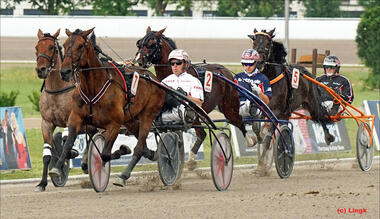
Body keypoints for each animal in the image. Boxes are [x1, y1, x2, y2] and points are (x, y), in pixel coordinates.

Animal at [48, 27, 164, 185]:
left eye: (80, 46)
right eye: (65, 45)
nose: (65, 71)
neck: (93, 89)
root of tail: (154, 78)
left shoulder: (114, 125)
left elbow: (104, 154)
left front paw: (121, 151)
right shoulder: (75, 118)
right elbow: (67, 145)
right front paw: (57, 168)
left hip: (148, 114)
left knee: (139, 146)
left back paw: (124, 175)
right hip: (130, 119)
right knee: (142, 142)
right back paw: (152, 153)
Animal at [135, 26, 248, 169]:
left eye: (152, 44)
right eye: (139, 43)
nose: (138, 61)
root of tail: (224, 70)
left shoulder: (193, 110)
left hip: (229, 107)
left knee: (237, 121)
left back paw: (253, 141)